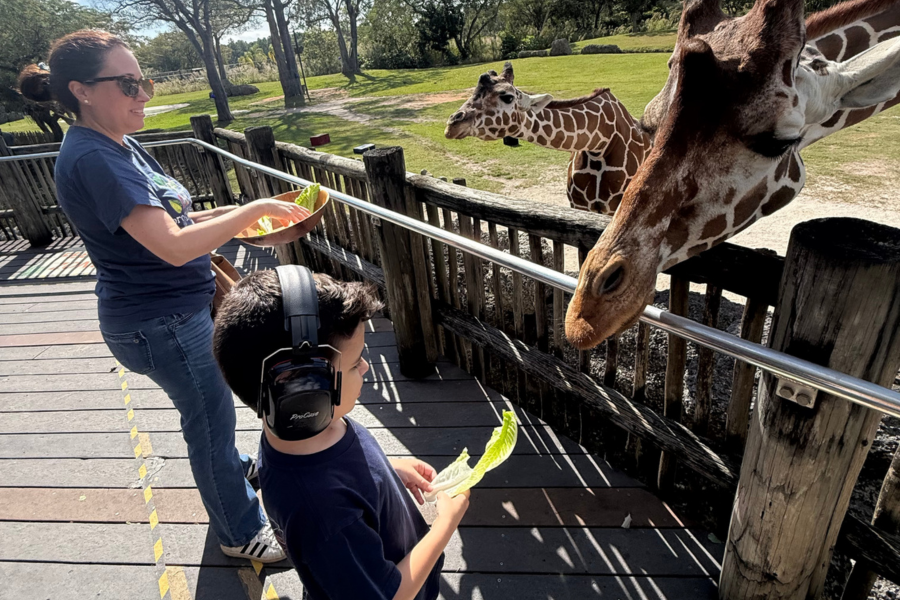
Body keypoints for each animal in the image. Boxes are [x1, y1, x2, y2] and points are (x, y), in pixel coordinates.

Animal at [445, 62, 653, 215]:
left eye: (508, 97)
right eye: (474, 91)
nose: (452, 124)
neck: (600, 143)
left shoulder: (614, 209)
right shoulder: (580, 205)